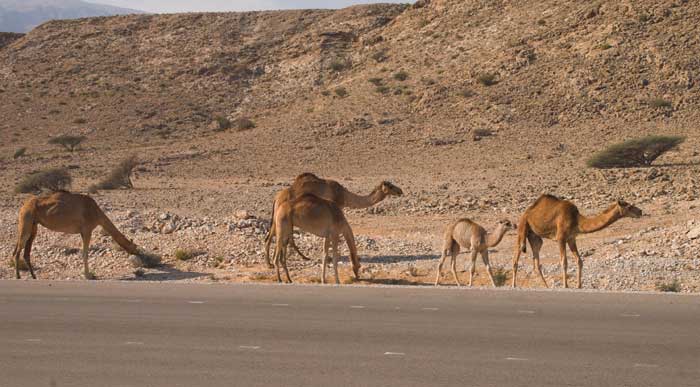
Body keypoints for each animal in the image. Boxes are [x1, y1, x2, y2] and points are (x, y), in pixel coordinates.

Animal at [10, 192, 139, 280]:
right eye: (135, 247)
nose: (138, 254)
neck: (97, 214)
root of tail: (23, 206)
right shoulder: (87, 230)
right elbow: (85, 253)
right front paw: (88, 275)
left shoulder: (82, 232)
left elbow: (84, 253)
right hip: (26, 220)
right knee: (17, 251)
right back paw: (18, 276)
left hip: (33, 226)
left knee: (26, 252)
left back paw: (34, 276)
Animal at [264, 174, 404, 270]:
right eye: (391, 186)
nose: (400, 191)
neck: (345, 196)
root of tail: (276, 198)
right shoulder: (335, 208)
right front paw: (333, 256)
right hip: (280, 216)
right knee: (271, 236)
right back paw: (270, 263)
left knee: (283, 237)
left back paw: (301, 257)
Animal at [512, 196, 644, 290]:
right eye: (629, 206)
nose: (640, 211)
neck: (577, 220)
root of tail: (526, 212)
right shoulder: (561, 238)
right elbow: (564, 262)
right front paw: (566, 285)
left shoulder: (571, 238)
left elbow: (579, 261)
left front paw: (579, 285)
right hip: (522, 228)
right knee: (517, 254)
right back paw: (513, 285)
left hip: (535, 237)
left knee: (536, 261)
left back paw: (546, 286)